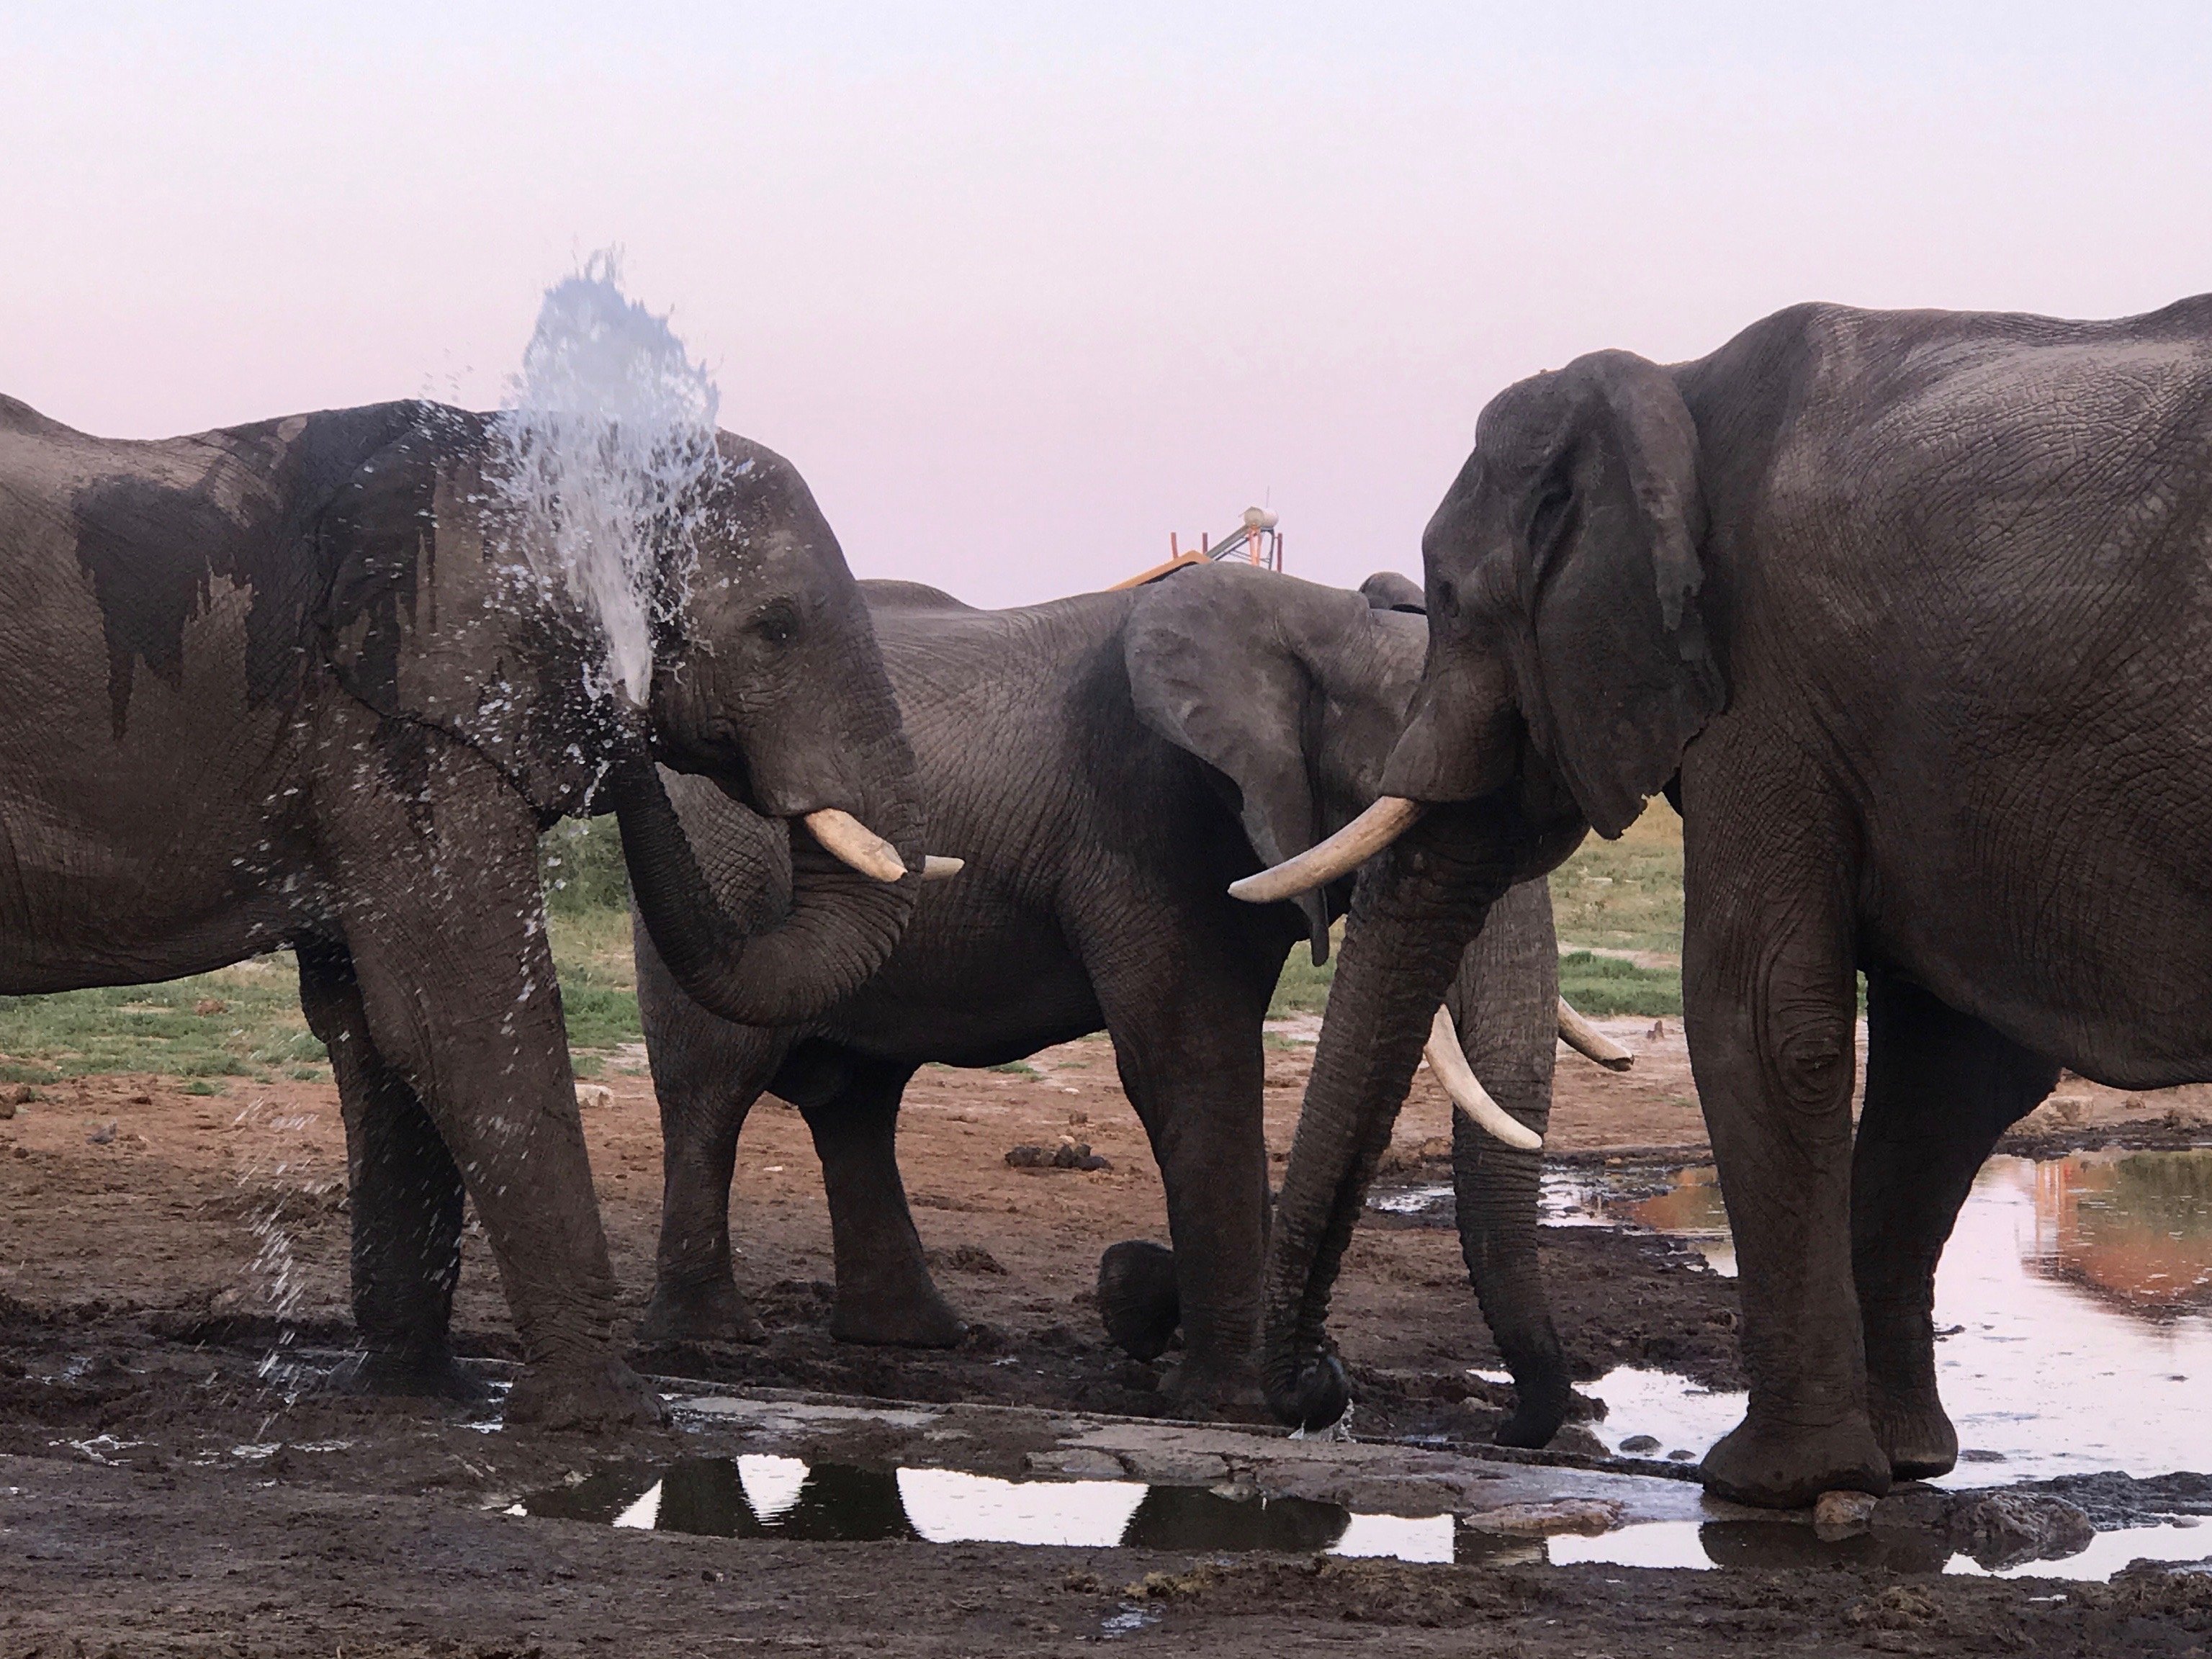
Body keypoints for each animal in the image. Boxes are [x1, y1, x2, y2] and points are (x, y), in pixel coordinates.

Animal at [0, 393, 929, 1433]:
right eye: (776, 627)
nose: (628, 720)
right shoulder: (397, 726)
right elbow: (462, 1019)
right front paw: (609, 1417)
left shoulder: (382, 728)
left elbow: (379, 1032)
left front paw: (415, 1393)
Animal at [632, 566, 1619, 1451]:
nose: (1514, 1432)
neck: (1317, 615)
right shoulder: (1142, 817)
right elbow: (1192, 1063)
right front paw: (1225, 1399)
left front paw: (1148, 1311)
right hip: (730, 860)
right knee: (716, 1085)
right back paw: (712, 1337)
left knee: (860, 1102)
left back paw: (920, 1338)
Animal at [1238, 292, 2212, 1513]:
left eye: (1453, 602)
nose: (1323, 1394)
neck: (1678, 392)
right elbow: (1953, 1067)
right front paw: (1903, 1463)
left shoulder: (1773, 690)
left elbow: (1757, 1015)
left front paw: (1769, 1483)